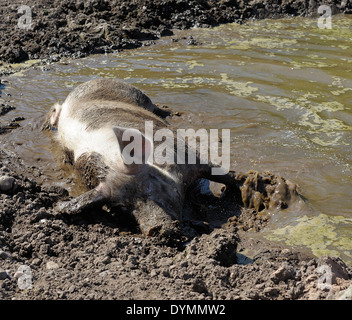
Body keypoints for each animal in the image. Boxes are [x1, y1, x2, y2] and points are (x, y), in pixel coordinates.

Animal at [44, 78, 302, 238]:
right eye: (121, 207)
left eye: (149, 185)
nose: (156, 229)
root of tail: (86, 84)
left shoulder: (189, 156)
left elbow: (221, 174)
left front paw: (249, 189)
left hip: (136, 94)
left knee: (156, 106)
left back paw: (171, 111)